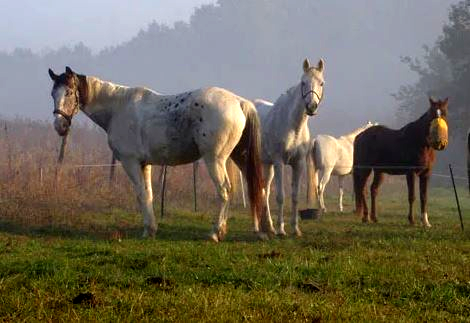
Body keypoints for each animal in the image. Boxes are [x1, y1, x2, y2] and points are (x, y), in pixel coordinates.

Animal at [47, 67, 270, 242]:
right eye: (53, 94)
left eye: (69, 92)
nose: (59, 126)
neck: (118, 108)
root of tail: (239, 102)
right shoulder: (145, 164)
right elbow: (149, 194)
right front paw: (151, 229)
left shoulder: (130, 162)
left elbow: (141, 194)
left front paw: (148, 231)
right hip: (240, 158)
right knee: (257, 188)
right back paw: (261, 231)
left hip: (214, 159)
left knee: (224, 190)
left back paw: (216, 232)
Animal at [253, 58, 326, 237]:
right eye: (303, 82)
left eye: (321, 83)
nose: (311, 106)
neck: (293, 126)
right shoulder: (279, 162)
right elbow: (280, 196)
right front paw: (281, 229)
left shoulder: (298, 164)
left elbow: (294, 196)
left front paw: (295, 228)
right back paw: (261, 227)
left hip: (267, 164)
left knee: (265, 190)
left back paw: (268, 226)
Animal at [352, 98, 448, 228]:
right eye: (432, 114)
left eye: (444, 113)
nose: (440, 142)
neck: (420, 143)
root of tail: (360, 136)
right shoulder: (411, 173)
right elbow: (412, 196)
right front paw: (412, 220)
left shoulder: (426, 174)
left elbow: (424, 197)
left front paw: (426, 222)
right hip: (365, 169)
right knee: (362, 189)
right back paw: (366, 217)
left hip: (379, 171)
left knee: (373, 190)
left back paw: (374, 217)